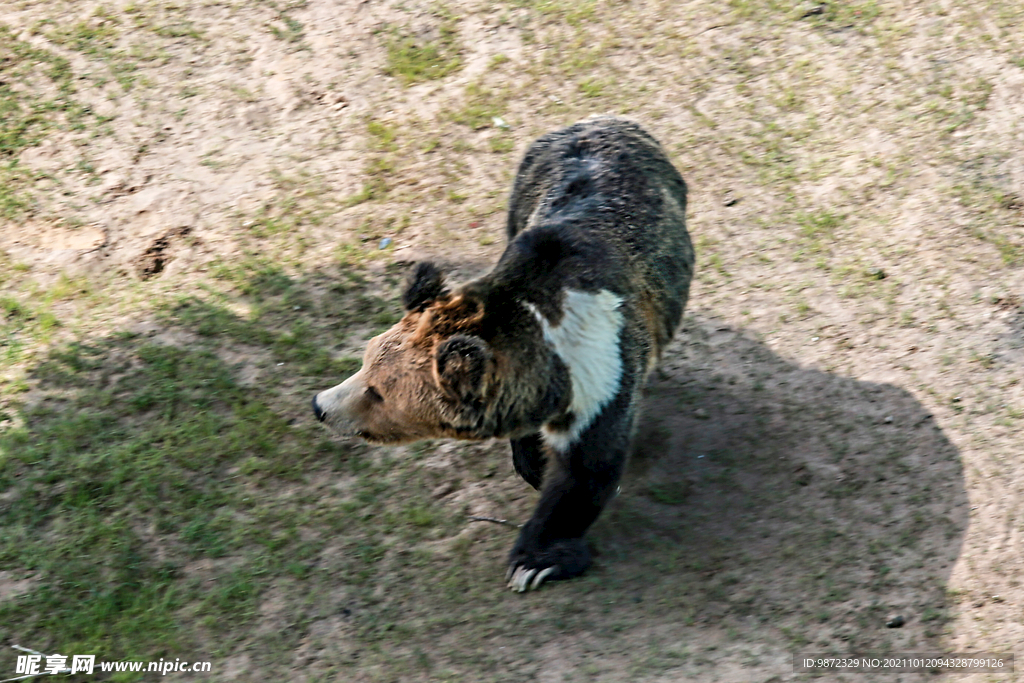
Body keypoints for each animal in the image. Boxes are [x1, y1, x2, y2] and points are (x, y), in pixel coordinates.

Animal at [312, 116, 694, 592]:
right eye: (365, 363)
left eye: (378, 391)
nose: (321, 405)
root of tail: (607, 119)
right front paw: (529, 461)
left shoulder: (604, 379)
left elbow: (584, 473)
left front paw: (535, 560)